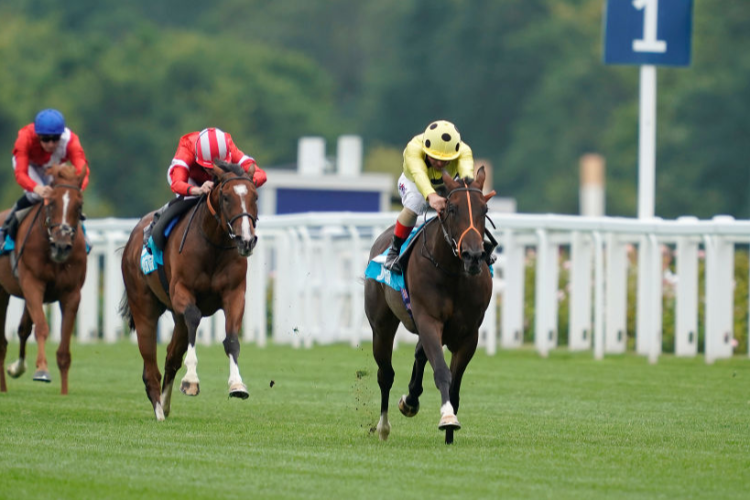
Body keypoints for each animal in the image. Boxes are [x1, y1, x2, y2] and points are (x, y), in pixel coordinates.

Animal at [0, 164, 88, 394]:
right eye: (51, 202)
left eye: (79, 205)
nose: (62, 245)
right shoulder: (32, 284)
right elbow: (41, 327)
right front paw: (41, 370)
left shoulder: (72, 294)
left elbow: (64, 350)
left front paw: (64, 393)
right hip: (3, 292)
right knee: (3, 341)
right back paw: (4, 387)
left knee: (22, 329)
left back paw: (17, 368)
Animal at [118, 162, 258, 420]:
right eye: (225, 197)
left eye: (255, 196)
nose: (246, 240)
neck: (213, 246)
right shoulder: (182, 291)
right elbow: (194, 316)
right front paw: (191, 380)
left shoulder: (234, 294)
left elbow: (232, 339)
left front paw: (237, 384)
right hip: (144, 308)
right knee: (150, 365)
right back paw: (158, 410)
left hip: (176, 318)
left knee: (171, 356)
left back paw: (165, 403)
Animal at [368, 166, 496, 444]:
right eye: (452, 208)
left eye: (484, 210)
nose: (473, 256)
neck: (453, 273)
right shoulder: (428, 320)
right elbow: (441, 371)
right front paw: (447, 418)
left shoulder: (469, 333)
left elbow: (455, 384)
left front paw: (449, 434)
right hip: (381, 325)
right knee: (385, 374)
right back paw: (383, 427)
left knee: (418, 354)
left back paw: (410, 400)